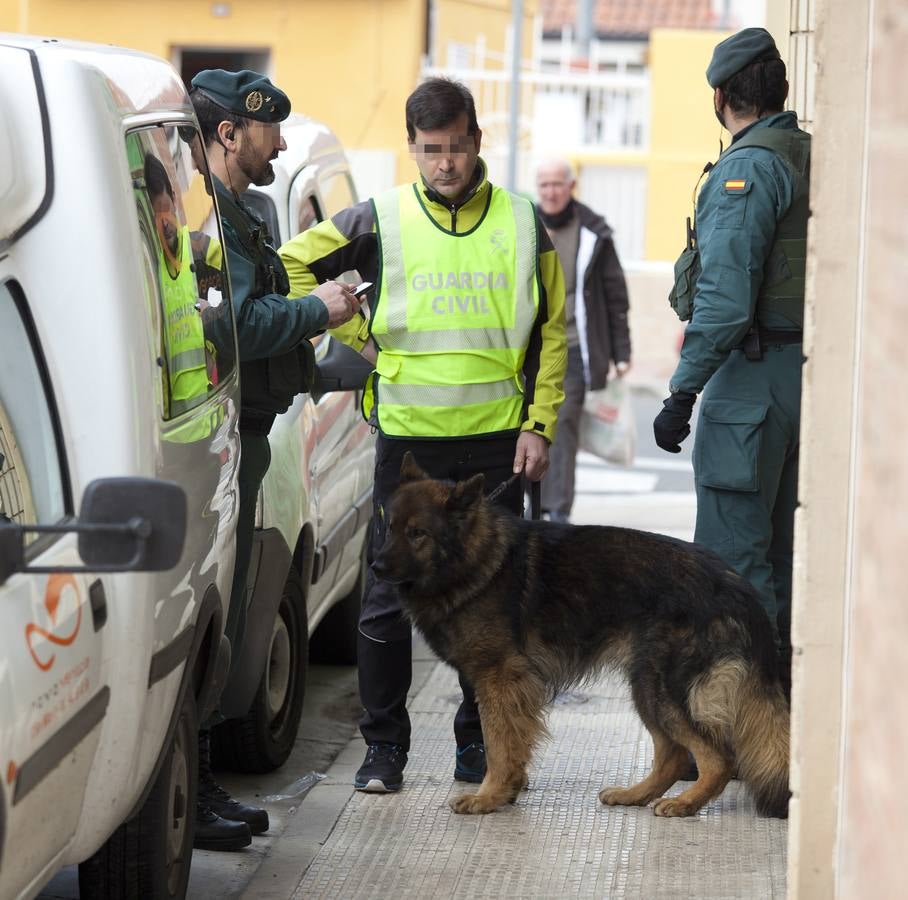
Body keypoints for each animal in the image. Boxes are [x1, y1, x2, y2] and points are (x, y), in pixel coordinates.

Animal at [372, 454, 792, 820]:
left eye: (418, 534)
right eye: (389, 528)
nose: (375, 567)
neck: (478, 560)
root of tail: (735, 583)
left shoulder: (499, 679)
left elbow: (498, 743)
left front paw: (488, 796)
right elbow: (511, 743)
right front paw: (507, 791)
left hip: (663, 690)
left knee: (718, 758)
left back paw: (685, 803)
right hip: (646, 688)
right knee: (673, 756)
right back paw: (636, 794)